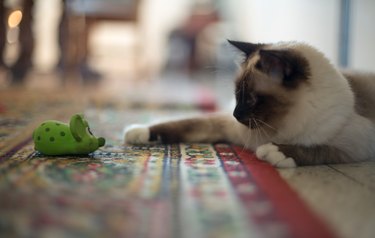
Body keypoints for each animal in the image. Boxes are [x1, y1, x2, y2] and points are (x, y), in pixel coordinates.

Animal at [125, 40, 375, 167]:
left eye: (252, 99)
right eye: (236, 95)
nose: (236, 115)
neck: (278, 125)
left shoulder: (356, 144)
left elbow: (315, 150)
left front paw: (273, 152)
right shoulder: (224, 126)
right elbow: (183, 124)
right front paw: (139, 132)